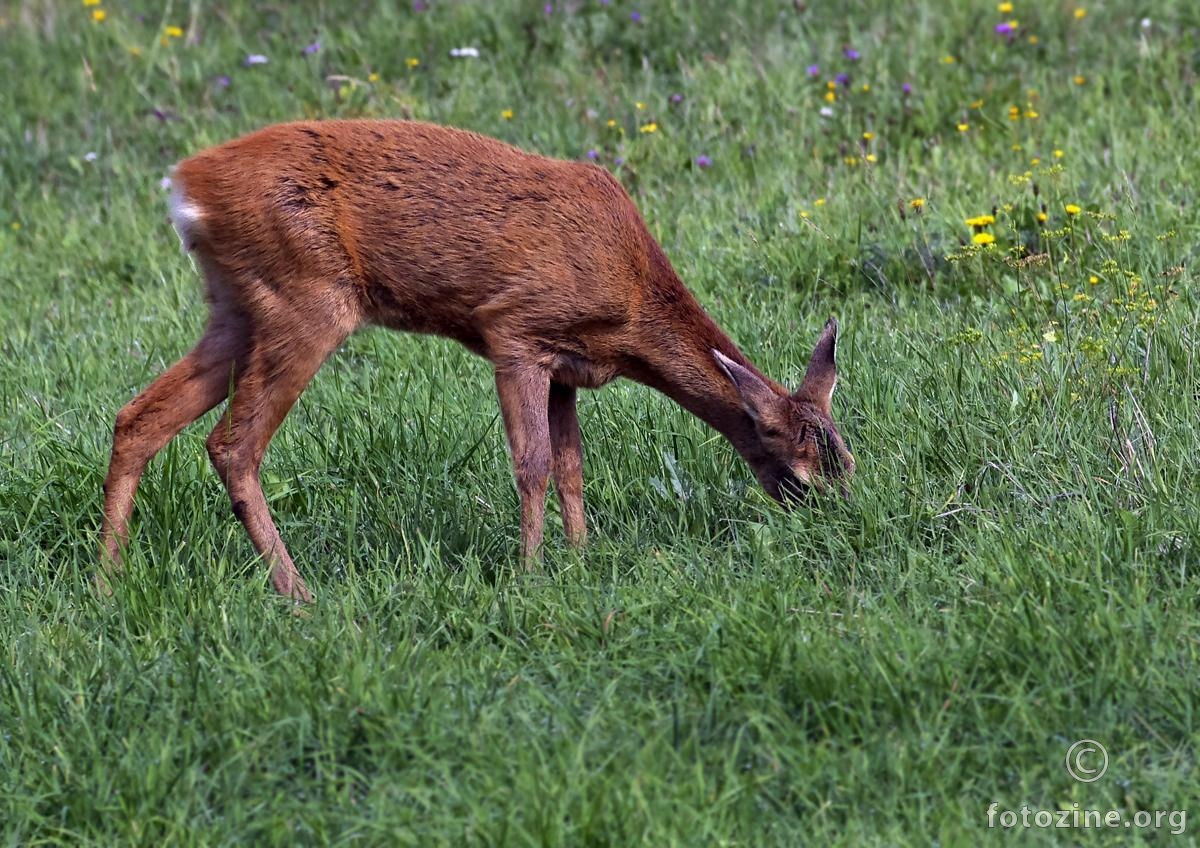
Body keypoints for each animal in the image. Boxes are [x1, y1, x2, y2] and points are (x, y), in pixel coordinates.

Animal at [100, 119, 854, 604]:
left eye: (847, 460)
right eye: (804, 476)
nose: (843, 529)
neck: (631, 297)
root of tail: (185, 185)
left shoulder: (568, 367)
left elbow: (573, 465)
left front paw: (581, 561)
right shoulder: (515, 332)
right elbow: (534, 464)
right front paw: (531, 574)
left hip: (235, 308)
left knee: (138, 416)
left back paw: (109, 579)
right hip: (305, 300)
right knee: (232, 444)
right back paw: (298, 593)